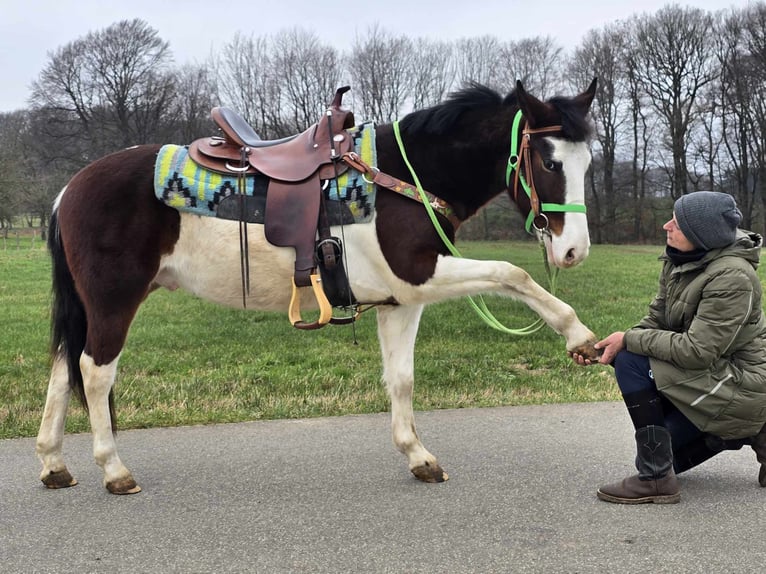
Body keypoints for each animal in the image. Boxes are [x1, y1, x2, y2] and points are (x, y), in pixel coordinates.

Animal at [36, 79, 604, 498]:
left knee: (64, 369)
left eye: (587, 163)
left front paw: (418, 457)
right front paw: (577, 335)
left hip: (91, 305)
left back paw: (54, 464)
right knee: (94, 371)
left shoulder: (401, 300)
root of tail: (67, 191)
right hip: (114, 300)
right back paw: (114, 471)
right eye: (550, 162)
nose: (574, 250)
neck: (406, 177)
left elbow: (401, 379)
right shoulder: (420, 273)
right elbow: (513, 273)